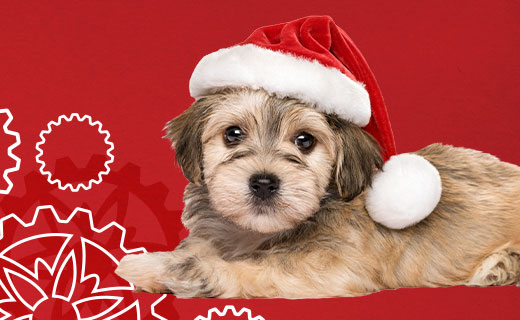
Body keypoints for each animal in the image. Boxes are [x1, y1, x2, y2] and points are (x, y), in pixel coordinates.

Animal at [115, 87, 520, 298]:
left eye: (305, 141)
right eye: (232, 134)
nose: (264, 182)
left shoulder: (327, 266)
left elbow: (255, 267)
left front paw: (154, 267)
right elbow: (200, 248)